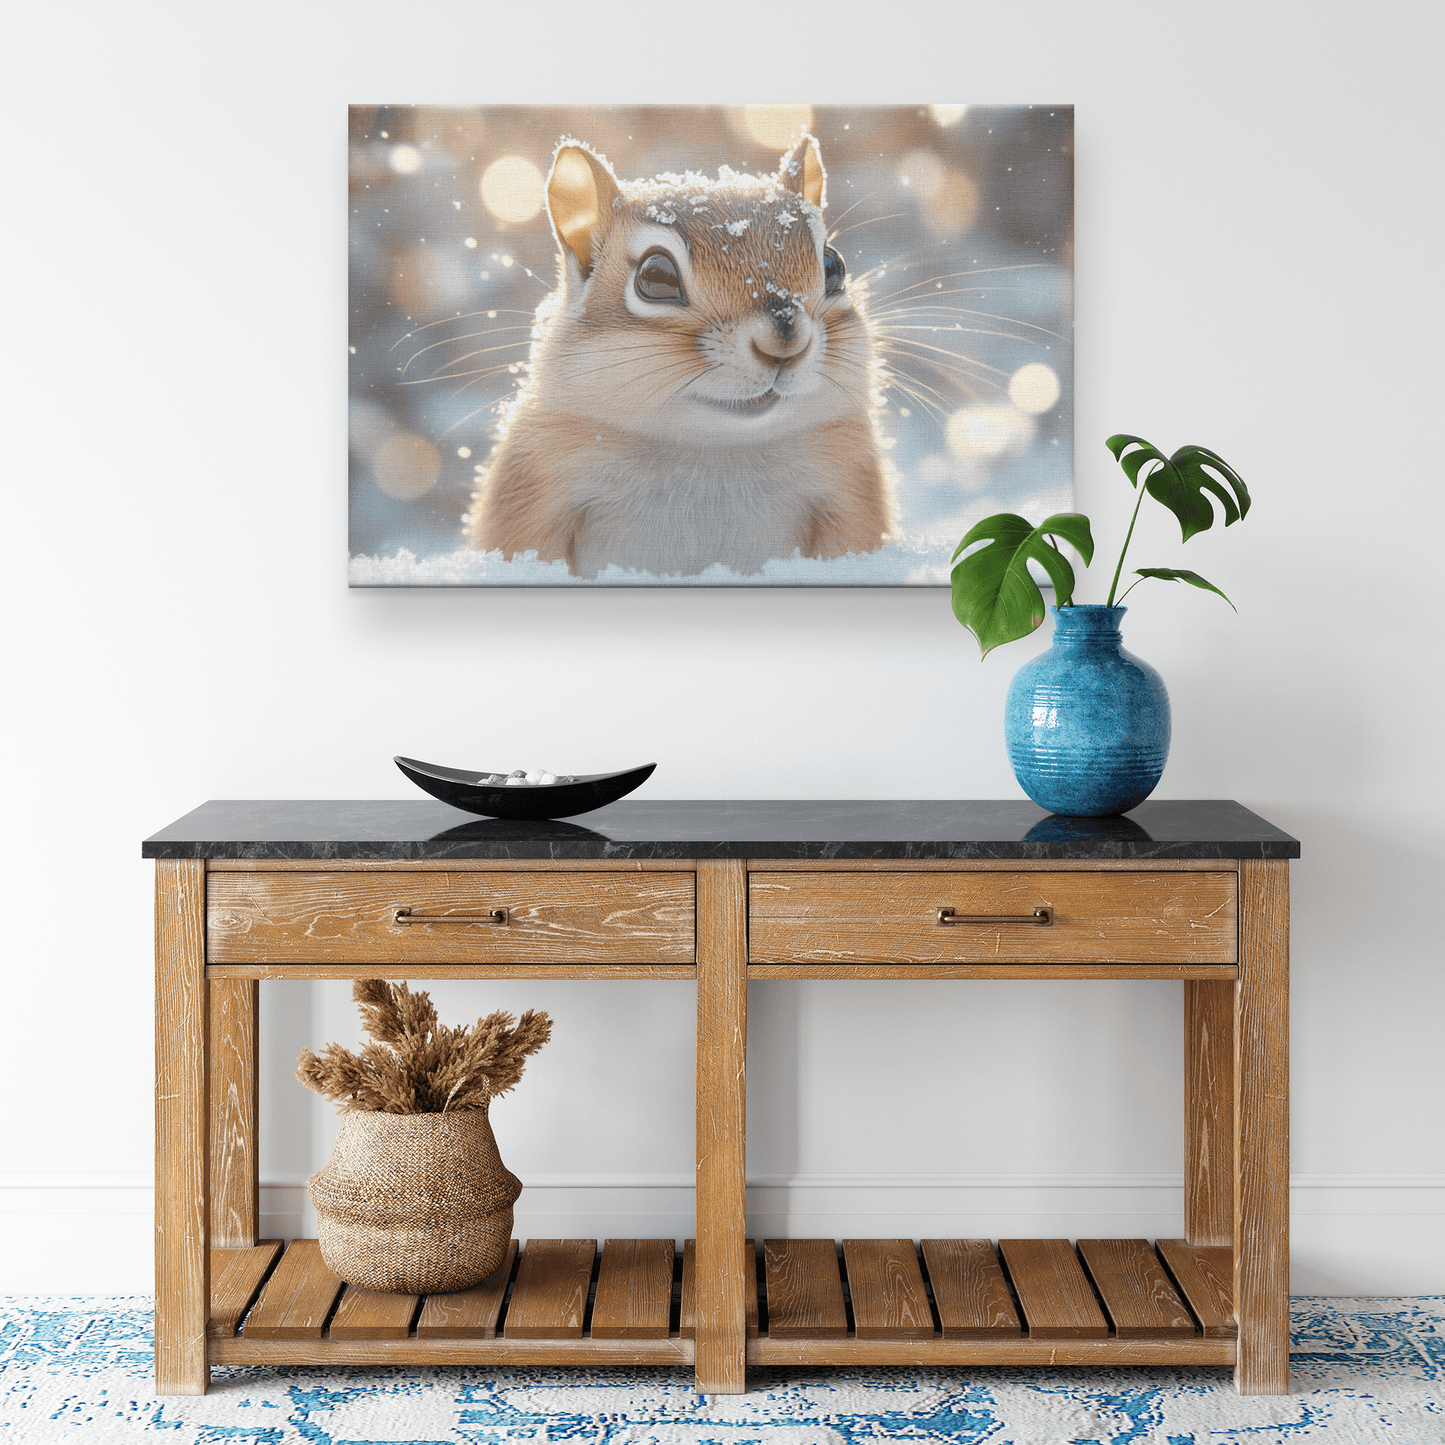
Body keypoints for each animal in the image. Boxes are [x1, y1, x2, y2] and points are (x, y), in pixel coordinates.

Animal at [463, 135, 895, 578]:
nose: (785, 344)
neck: (711, 450)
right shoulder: (535, 483)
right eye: (656, 276)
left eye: (833, 264)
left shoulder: (849, 487)